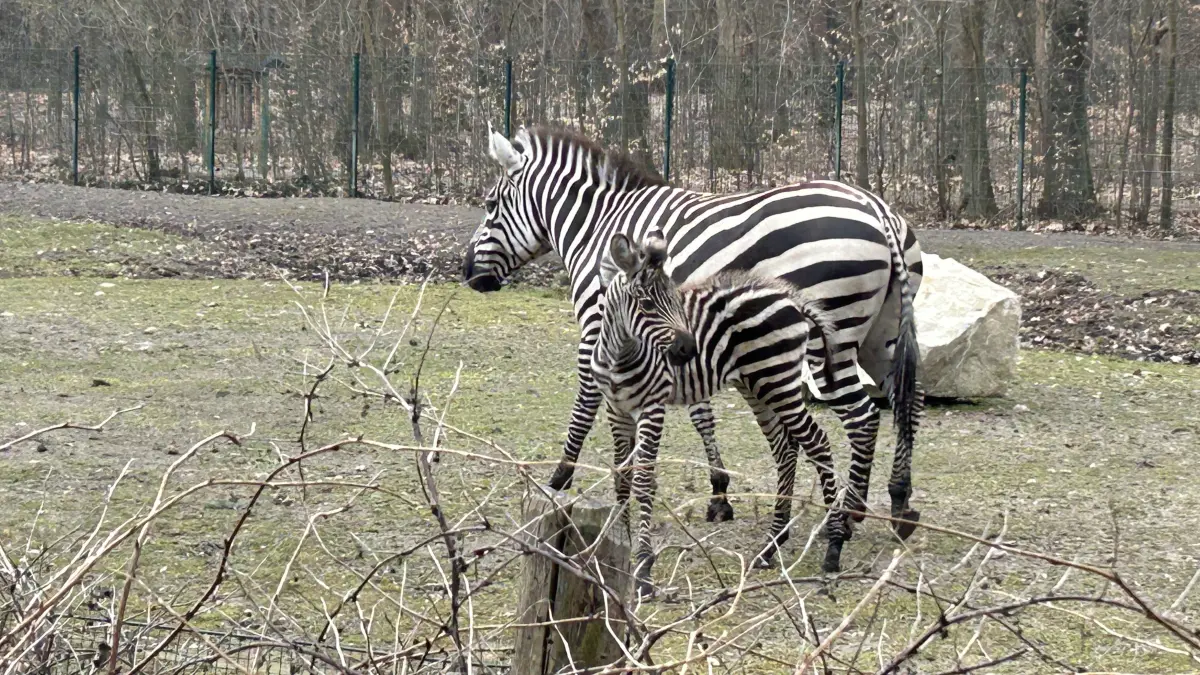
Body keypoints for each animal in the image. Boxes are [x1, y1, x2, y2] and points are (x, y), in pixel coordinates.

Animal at [462, 125, 924, 533]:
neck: (597, 225)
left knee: (862, 415)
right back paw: (899, 502)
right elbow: (701, 412)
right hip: (880, 336)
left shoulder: (598, 322)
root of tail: (876, 208)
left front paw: (559, 477)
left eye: (489, 204)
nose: (468, 275)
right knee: (907, 400)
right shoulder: (679, 336)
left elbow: (585, 405)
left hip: (833, 338)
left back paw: (850, 512)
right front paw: (719, 493)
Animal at [594, 230, 853, 593]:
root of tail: (792, 301)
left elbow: (643, 479)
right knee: (786, 448)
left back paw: (833, 547)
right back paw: (771, 545)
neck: (620, 355)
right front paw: (619, 541)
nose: (688, 349)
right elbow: (622, 475)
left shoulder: (652, 407)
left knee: (816, 441)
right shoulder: (616, 409)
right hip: (757, 386)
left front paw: (643, 567)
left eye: (677, 302)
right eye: (646, 305)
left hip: (779, 381)